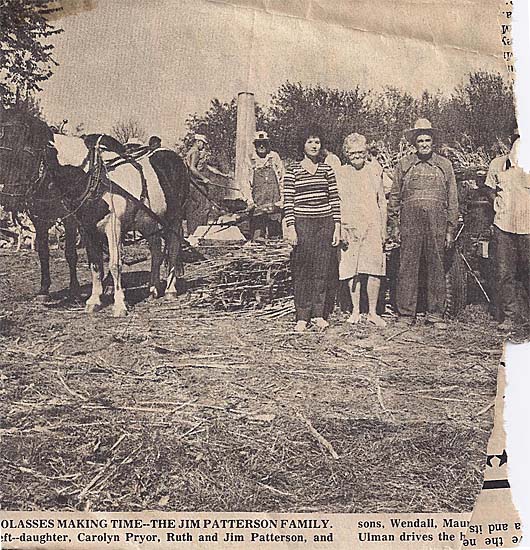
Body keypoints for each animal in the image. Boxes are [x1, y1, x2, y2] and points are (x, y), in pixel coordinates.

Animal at [0, 105, 189, 316]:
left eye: (26, 155)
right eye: (2, 155)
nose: (8, 200)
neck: (93, 176)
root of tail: (174, 157)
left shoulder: (113, 228)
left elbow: (115, 264)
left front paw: (119, 305)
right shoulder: (87, 228)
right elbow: (95, 264)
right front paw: (94, 300)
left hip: (174, 218)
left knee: (173, 247)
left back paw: (170, 289)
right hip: (148, 221)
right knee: (156, 249)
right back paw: (154, 288)